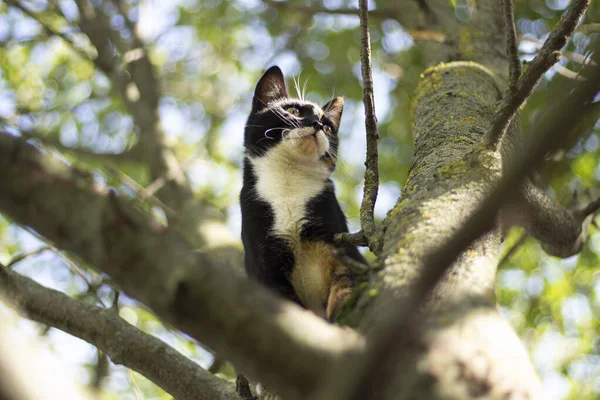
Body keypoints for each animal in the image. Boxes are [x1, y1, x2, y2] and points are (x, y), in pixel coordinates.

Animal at [240, 65, 366, 320]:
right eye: (293, 110)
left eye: (327, 126)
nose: (317, 125)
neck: (289, 185)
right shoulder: (265, 264)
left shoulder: (337, 243)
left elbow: (344, 284)